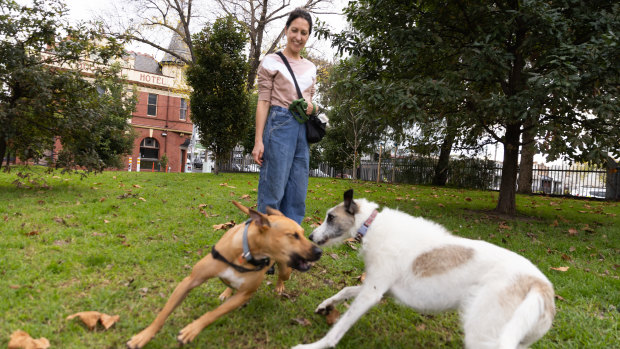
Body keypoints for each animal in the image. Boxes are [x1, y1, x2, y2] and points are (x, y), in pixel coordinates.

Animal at [124, 200, 320, 346]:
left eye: (303, 234)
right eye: (293, 235)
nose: (319, 251)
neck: (247, 253)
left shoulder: (243, 295)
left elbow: (213, 314)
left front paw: (192, 329)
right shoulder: (190, 281)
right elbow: (164, 313)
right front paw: (144, 335)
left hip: (286, 269)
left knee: (282, 276)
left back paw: (279, 287)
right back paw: (227, 291)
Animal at [294, 190, 556, 348]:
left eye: (330, 217)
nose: (311, 237)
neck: (371, 224)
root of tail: (540, 287)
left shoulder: (372, 293)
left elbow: (340, 326)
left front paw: (315, 345)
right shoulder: (380, 288)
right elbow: (346, 290)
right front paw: (326, 305)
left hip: (483, 333)